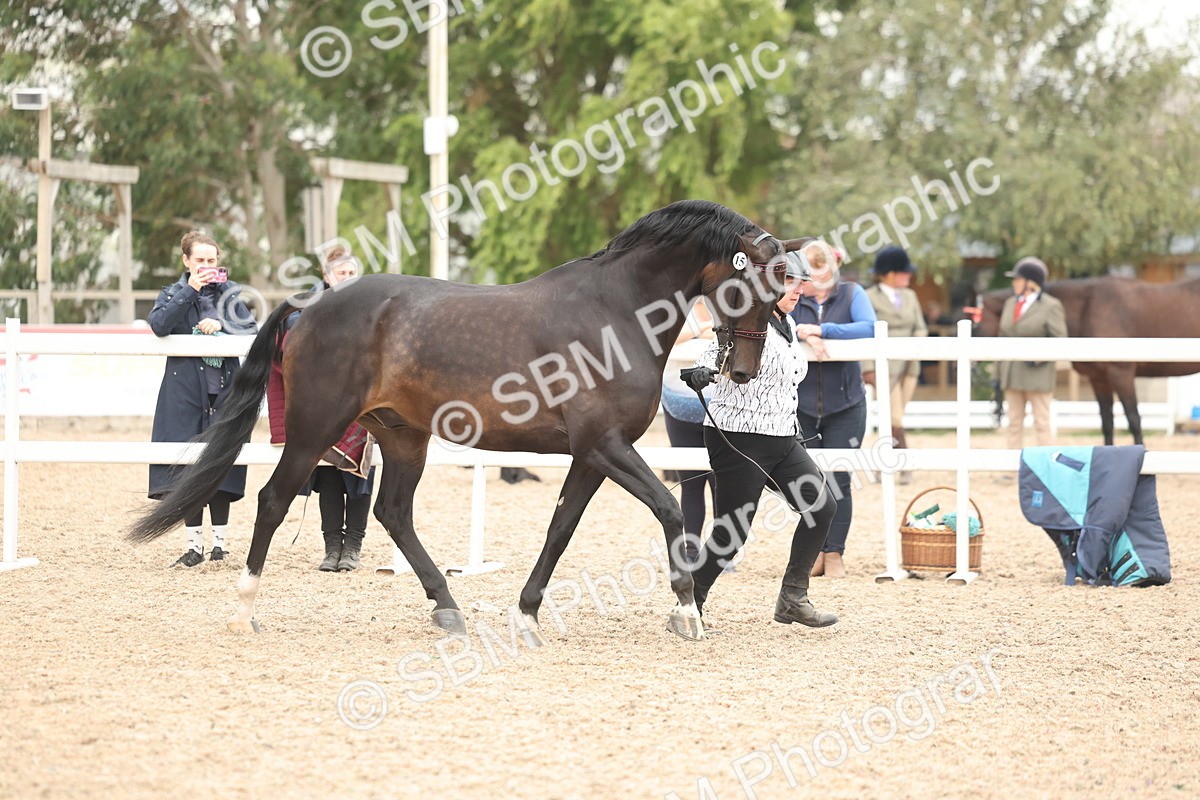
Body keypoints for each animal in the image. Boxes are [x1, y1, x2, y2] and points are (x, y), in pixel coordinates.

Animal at [130, 200, 811, 644]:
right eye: (763, 280)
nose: (743, 371)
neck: (615, 311)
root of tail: (309, 306)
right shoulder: (607, 446)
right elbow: (669, 511)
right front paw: (688, 614)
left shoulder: (591, 454)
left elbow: (560, 529)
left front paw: (527, 614)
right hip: (314, 430)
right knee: (273, 502)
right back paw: (244, 609)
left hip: (402, 436)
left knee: (394, 513)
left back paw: (448, 608)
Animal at [977, 276, 1200, 445]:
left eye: (976, 323)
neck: (1090, 307)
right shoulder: (1098, 378)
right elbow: (1107, 423)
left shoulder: (1122, 374)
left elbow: (1134, 420)